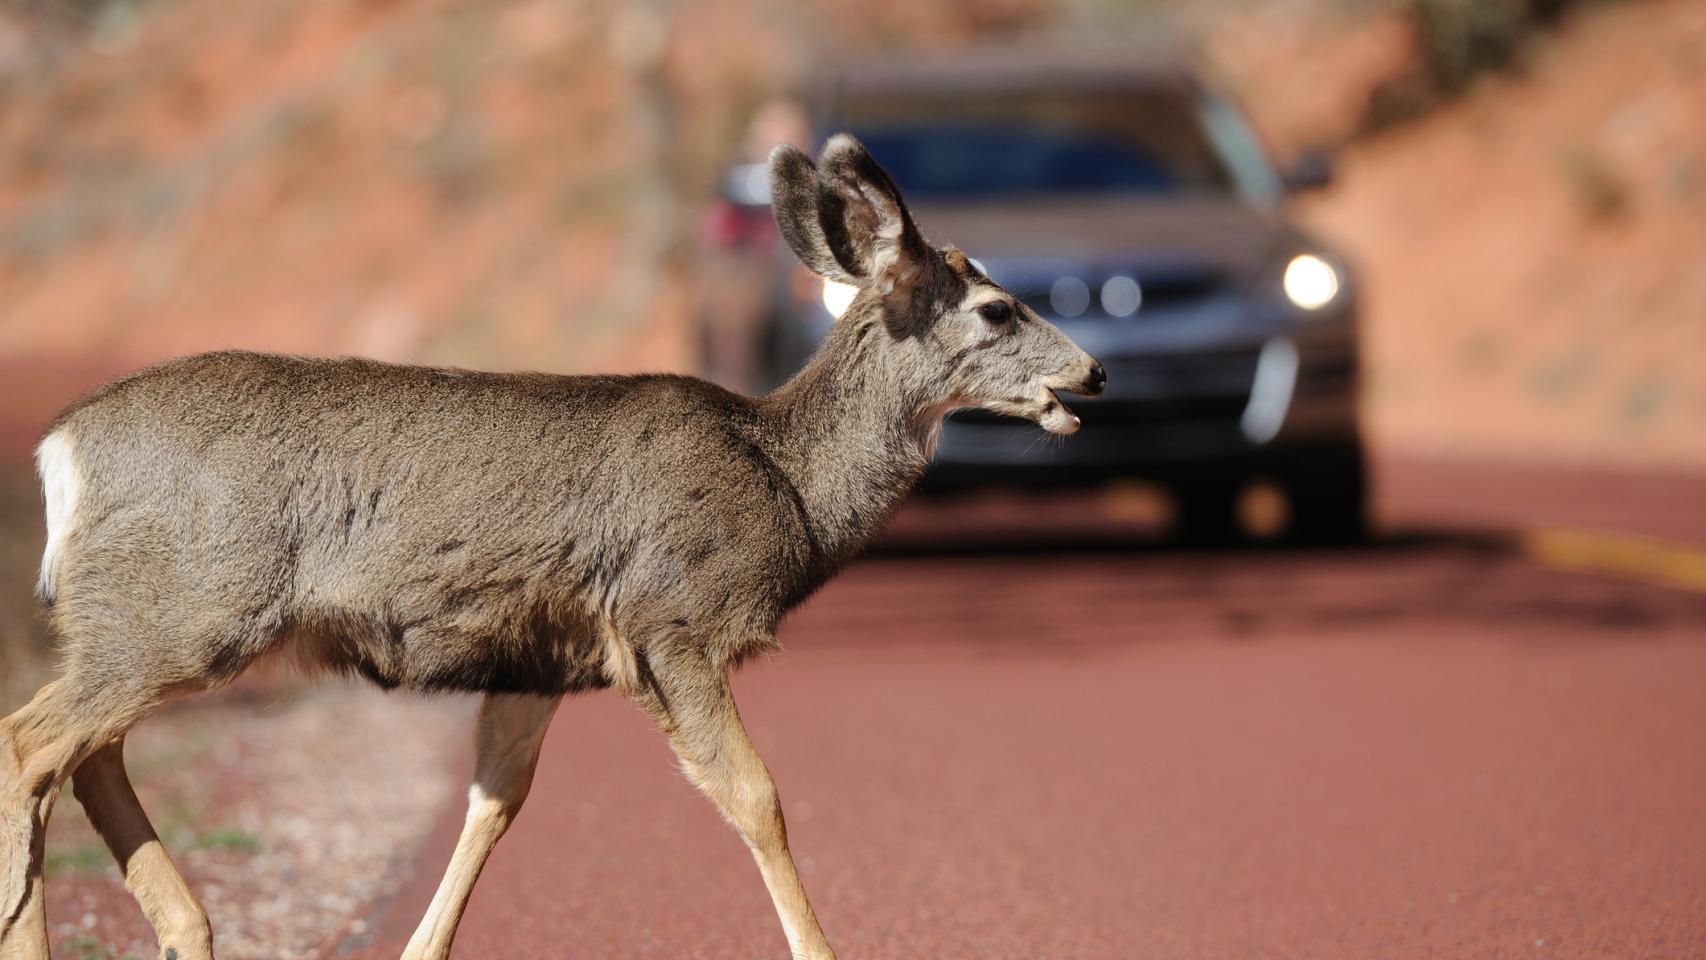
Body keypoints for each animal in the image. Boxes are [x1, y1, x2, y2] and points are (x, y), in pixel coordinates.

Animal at [0, 134, 1104, 960]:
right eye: (997, 308)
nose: (1090, 374)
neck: (785, 480)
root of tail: (61, 449)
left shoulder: (539, 655)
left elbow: (494, 802)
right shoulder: (669, 620)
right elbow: (757, 797)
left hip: (145, 621)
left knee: (86, 756)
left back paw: (187, 930)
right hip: (186, 608)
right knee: (30, 743)